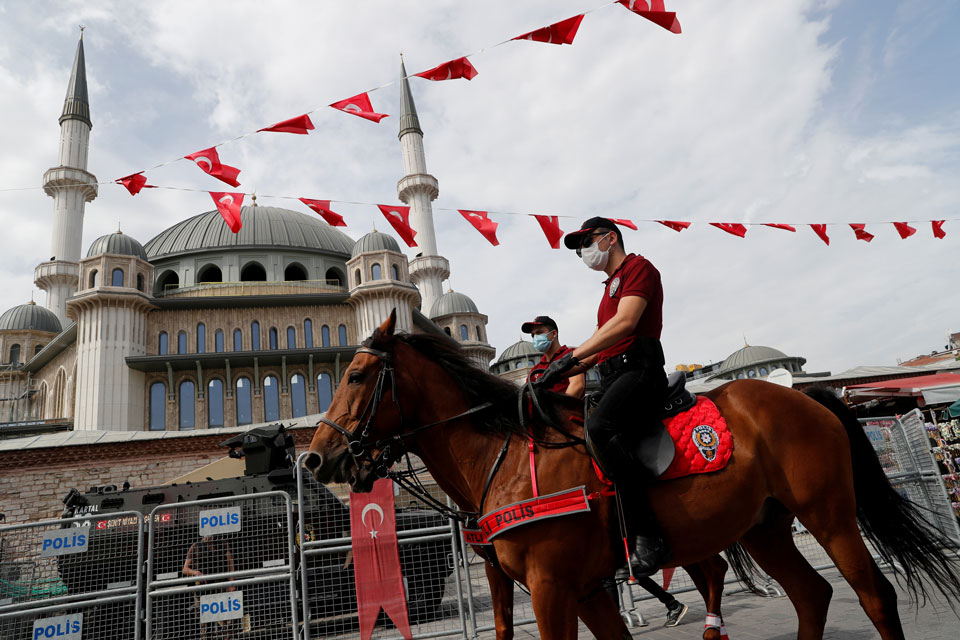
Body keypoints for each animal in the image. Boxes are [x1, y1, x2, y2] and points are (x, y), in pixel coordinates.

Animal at [306, 312, 960, 640]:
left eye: (358, 376)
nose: (315, 457)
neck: (504, 456)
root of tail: (805, 396)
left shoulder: (551, 588)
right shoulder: (579, 589)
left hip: (829, 512)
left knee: (873, 596)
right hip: (763, 527)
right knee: (811, 596)